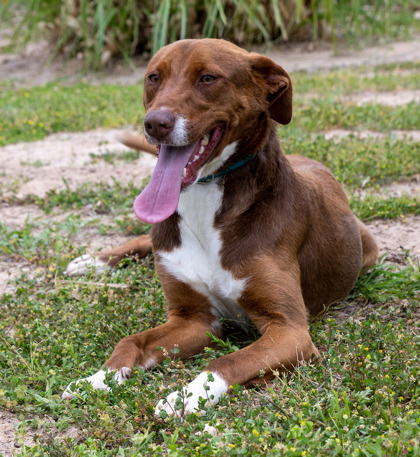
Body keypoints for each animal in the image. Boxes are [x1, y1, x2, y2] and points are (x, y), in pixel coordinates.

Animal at [61, 40, 378, 416]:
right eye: (154, 77)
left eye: (208, 78)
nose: (154, 124)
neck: (206, 195)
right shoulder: (192, 318)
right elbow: (131, 341)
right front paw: (98, 378)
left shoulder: (289, 331)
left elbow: (226, 362)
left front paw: (185, 396)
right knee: (145, 237)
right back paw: (95, 260)